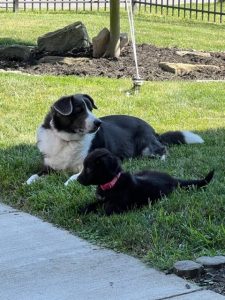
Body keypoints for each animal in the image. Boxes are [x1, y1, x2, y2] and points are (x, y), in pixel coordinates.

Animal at [26, 93, 204, 185]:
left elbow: (73, 177)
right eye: (78, 110)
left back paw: (161, 159)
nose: (98, 123)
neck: (67, 139)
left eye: (90, 109)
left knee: (163, 149)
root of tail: (153, 129)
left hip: (146, 146)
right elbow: (34, 176)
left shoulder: (86, 167)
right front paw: (28, 182)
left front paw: (68, 182)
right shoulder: (49, 167)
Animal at [77, 148, 214, 214]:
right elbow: (93, 204)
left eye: (88, 169)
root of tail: (173, 179)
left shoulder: (118, 207)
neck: (112, 184)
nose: (77, 179)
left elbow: (105, 210)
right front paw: (82, 209)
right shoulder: (101, 200)